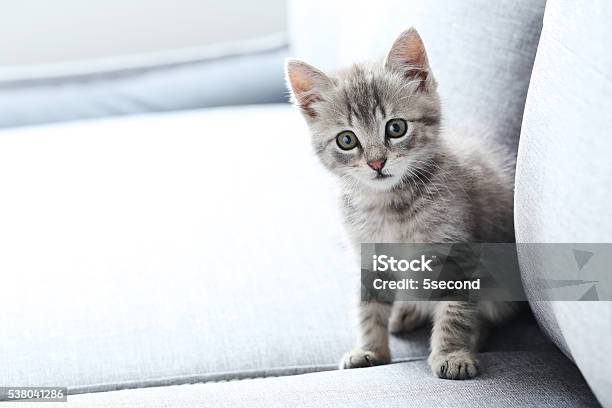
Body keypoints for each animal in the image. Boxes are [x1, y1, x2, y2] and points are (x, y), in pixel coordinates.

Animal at [286, 27, 516, 380]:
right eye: (346, 140)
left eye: (396, 128)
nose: (377, 163)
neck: (388, 205)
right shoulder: (369, 257)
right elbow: (368, 307)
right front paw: (370, 349)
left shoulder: (458, 252)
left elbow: (456, 311)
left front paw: (452, 353)